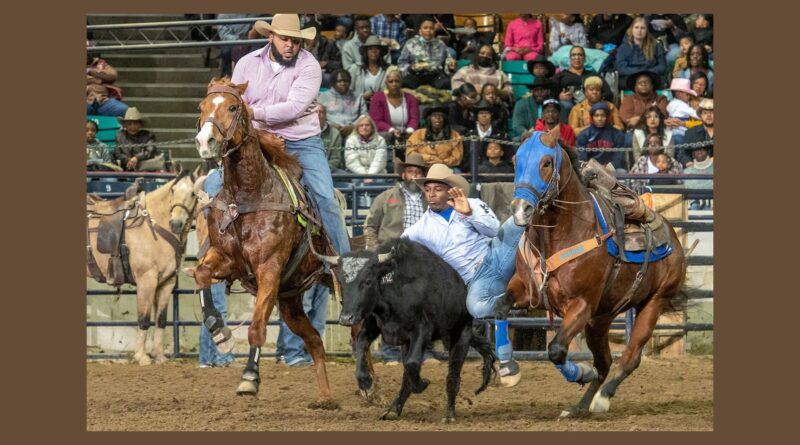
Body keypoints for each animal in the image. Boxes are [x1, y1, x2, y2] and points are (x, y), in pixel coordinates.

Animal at [86, 169, 201, 365]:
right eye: (173, 190)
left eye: (193, 193)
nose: (175, 223)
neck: (155, 226)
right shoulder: (146, 281)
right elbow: (144, 319)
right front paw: (141, 357)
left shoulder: (166, 283)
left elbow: (161, 320)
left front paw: (159, 356)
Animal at [188, 77, 339, 409]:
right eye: (201, 106)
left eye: (233, 107)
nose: (206, 141)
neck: (249, 195)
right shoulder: (226, 259)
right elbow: (202, 274)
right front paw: (218, 331)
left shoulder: (269, 269)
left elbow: (257, 328)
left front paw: (249, 378)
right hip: (290, 302)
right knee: (315, 342)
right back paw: (325, 396)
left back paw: (369, 387)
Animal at [499, 131, 687, 417]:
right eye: (515, 160)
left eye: (546, 163)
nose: (521, 209)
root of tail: (673, 238)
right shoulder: (526, 290)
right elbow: (499, 308)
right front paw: (507, 369)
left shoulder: (581, 305)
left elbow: (556, 350)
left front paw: (581, 373)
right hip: (601, 319)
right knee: (605, 362)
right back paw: (579, 406)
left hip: (654, 303)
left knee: (630, 357)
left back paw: (602, 398)